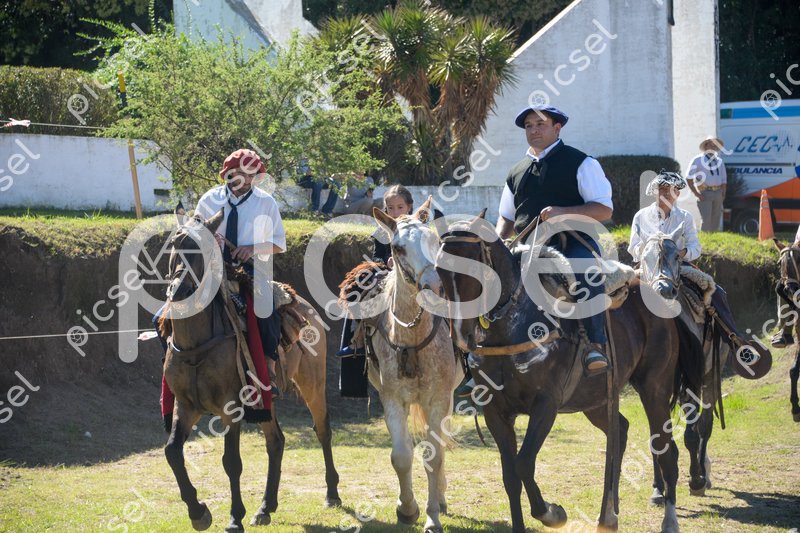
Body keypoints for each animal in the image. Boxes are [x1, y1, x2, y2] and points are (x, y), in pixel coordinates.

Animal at [160, 208, 340, 532]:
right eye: (174, 246)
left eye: (202, 250)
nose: (179, 290)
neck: (198, 345)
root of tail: (306, 307)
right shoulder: (186, 405)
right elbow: (172, 452)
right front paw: (198, 511)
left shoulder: (230, 408)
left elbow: (231, 462)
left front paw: (234, 518)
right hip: (265, 401)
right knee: (276, 442)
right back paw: (266, 507)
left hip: (313, 386)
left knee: (323, 431)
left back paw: (332, 493)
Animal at [341, 198, 463, 533]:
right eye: (397, 247)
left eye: (434, 240)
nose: (434, 286)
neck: (411, 335)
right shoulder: (393, 399)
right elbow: (401, 456)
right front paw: (407, 509)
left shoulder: (438, 399)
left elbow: (434, 456)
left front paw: (432, 516)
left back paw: (442, 497)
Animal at [435, 212, 702, 533]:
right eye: (438, 268)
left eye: (474, 266)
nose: (461, 334)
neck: (513, 325)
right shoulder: (496, 412)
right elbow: (510, 475)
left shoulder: (545, 405)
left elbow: (524, 463)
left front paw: (552, 513)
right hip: (595, 400)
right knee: (620, 432)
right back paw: (608, 515)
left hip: (655, 389)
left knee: (666, 449)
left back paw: (669, 519)